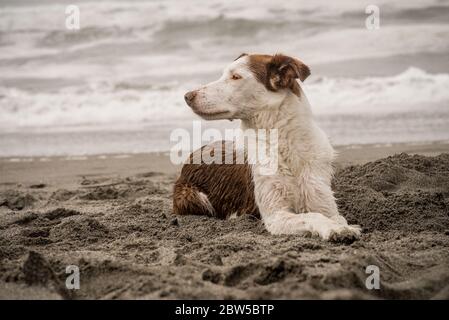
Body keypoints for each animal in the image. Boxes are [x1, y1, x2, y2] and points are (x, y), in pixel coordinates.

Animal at [172, 53, 360, 242]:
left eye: (235, 77)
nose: (187, 96)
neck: (283, 144)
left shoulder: (323, 202)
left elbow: (336, 217)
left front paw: (343, 227)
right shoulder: (276, 216)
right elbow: (312, 216)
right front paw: (334, 229)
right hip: (193, 197)